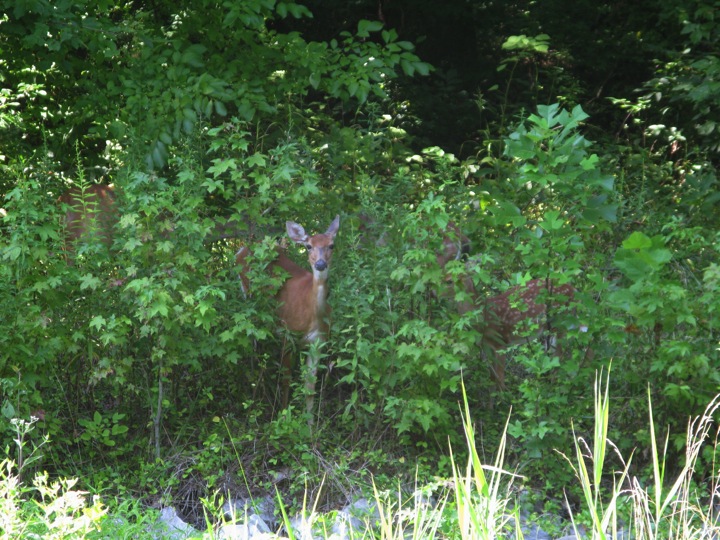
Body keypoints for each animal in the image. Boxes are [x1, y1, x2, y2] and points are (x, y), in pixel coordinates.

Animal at [235, 214, 338, 418]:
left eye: (331, 245)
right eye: (309, 246)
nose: (320, 264)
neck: (311, 313)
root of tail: (243, 248)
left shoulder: (318, 341)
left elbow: (309, 387)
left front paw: (309, 424)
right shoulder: (287, 333)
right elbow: (286, 379)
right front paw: (282, 414)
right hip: (247, 296)